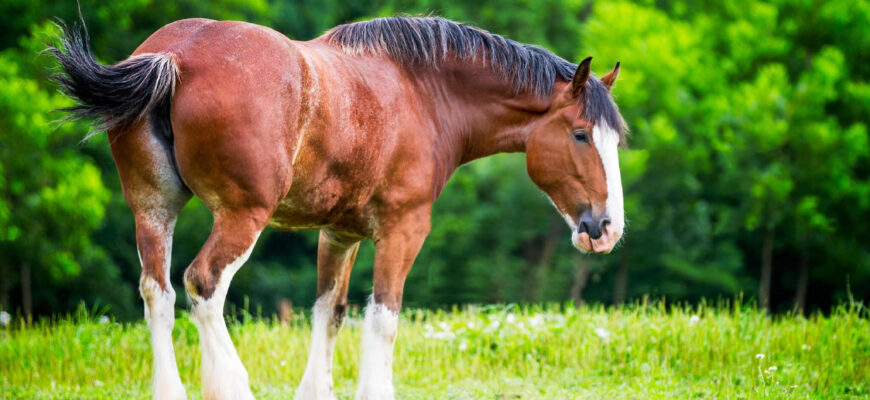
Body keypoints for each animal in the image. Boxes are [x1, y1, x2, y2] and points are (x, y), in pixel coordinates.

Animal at [49, 15, 628, 400]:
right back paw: (231, 383)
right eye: (580, 134)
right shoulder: (402, 230)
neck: (423, 91)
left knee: (159, 292)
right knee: (203, 283)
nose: (606, 228)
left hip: (153, 210)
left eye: (613, 140)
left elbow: (330, 313)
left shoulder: (339, 233)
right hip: (240, 217)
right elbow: (383, 318)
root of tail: (175, 56)